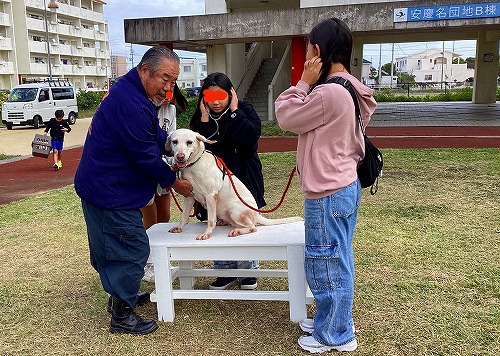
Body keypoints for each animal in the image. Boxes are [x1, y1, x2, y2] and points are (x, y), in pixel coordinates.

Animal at [166, 128, 302, 239]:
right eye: (174, 142)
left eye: (189, 142)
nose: (180, 156)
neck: (194, 165)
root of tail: (257, 214)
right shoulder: (189, 196)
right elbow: (184, 216)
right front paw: (179, 227)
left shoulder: (211, 196)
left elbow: (210, 220)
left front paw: (207, 233)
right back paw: (224, 222)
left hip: (234, 210)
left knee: (253, 227)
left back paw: (237, 231)